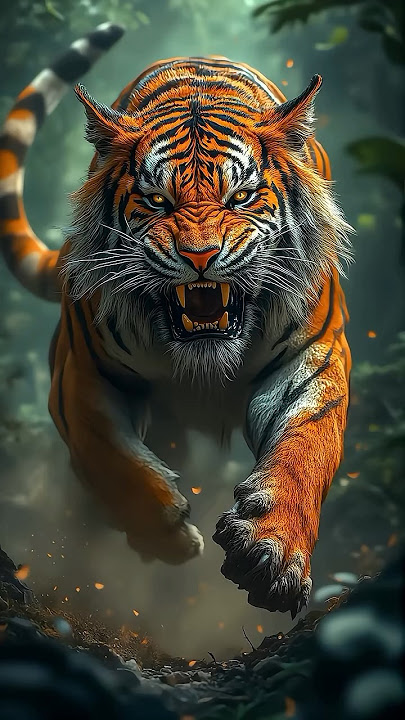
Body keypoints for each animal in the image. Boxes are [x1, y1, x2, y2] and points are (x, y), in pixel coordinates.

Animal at [0, 24, 352, 617]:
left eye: (241, 196)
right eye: (157, 200)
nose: (200, 255)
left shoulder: (315, 358)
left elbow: (307, 448)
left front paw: (272, 552)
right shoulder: (82, 375)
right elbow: (109, 458)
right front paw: (169, 537)